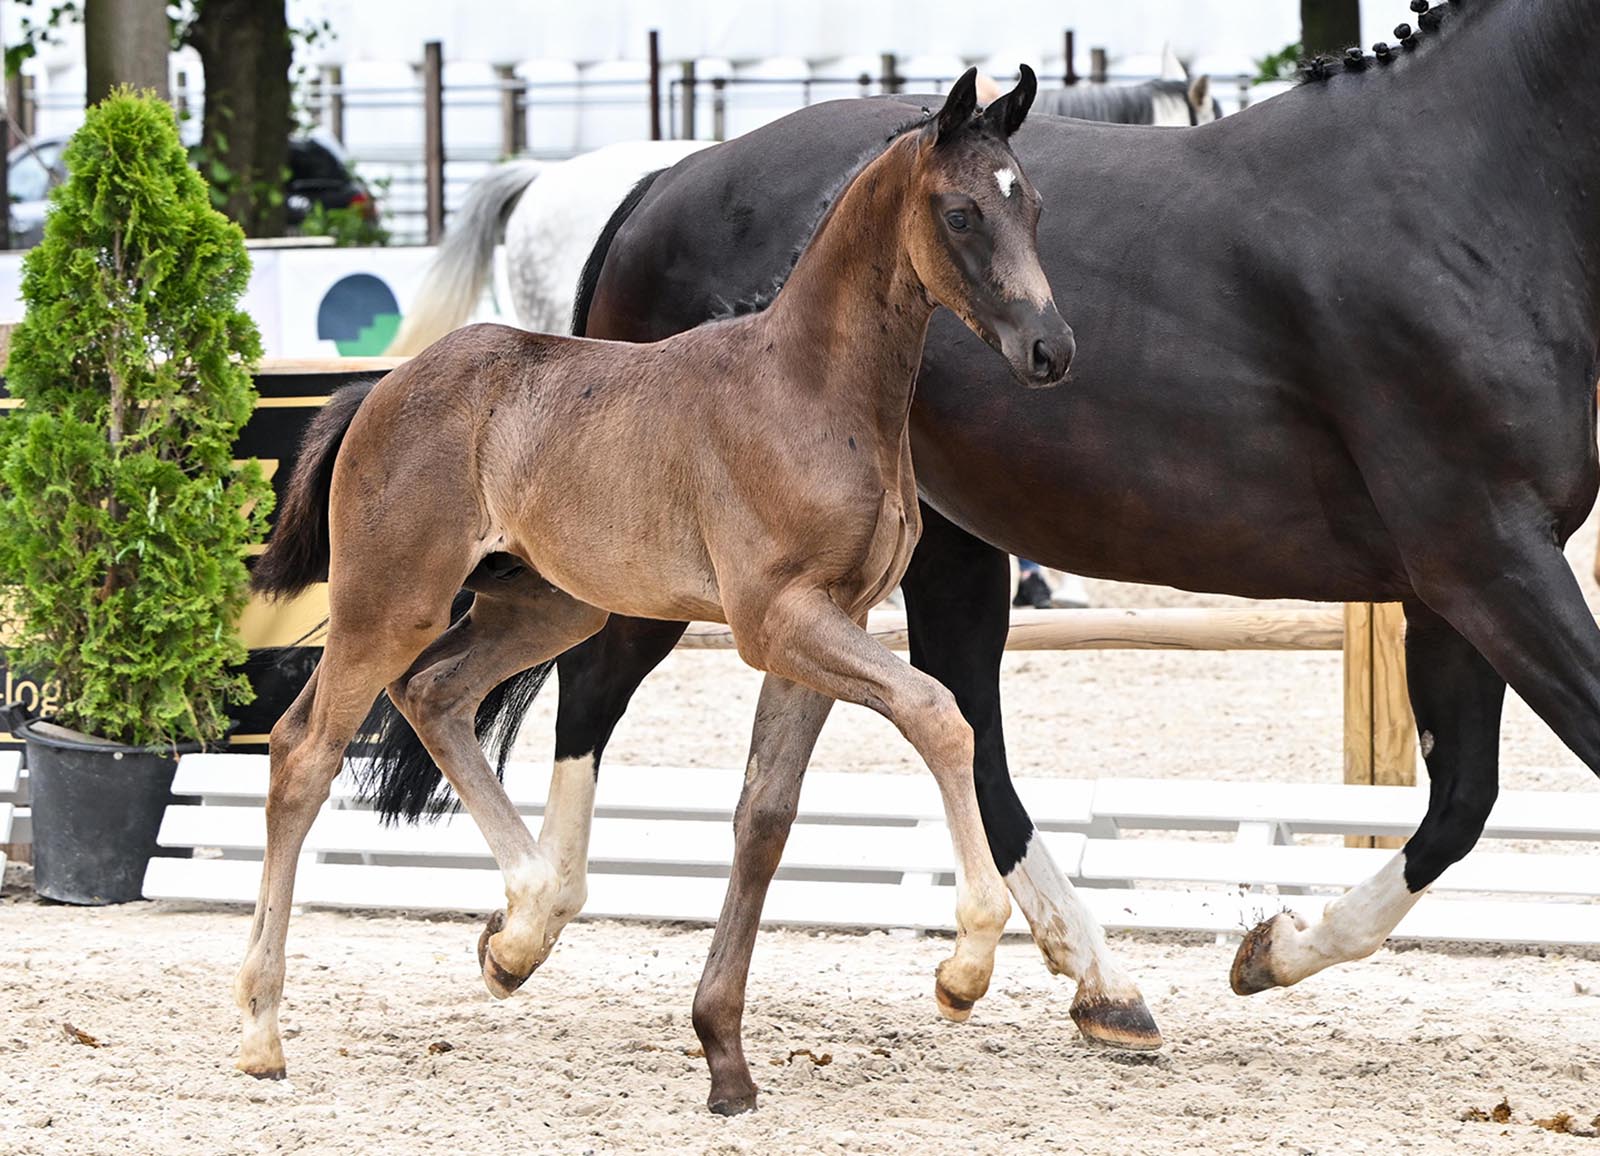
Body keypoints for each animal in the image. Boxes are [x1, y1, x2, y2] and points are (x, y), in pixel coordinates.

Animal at [236, 67, 1075, 1101]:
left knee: (433, 695)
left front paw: (727, 1058)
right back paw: (263, 1029)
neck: (810, 389)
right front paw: (965, 964)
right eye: (960, 213)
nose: (1050, 349)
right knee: (302, 752)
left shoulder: (823, 622)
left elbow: (767, 812)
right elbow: (939, 714)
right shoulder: (776, 620)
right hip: (389, 602)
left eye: (1031, 206)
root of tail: (378, 388)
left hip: (545, 604)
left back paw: (521, 927)